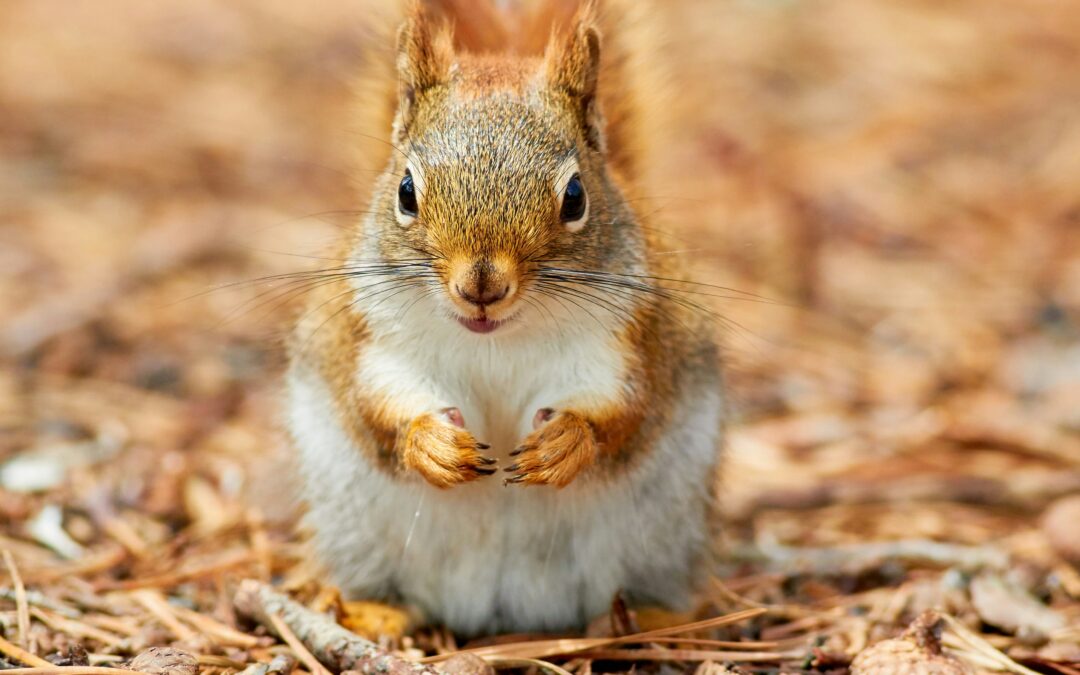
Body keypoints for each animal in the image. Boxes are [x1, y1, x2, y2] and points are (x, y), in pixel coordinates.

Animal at [287, 0, 724, 636]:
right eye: (405, 191)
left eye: (575, 197)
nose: (482, 286)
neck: (496, 342)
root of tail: (497, 611)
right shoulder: (371, 338)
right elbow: (377, 405)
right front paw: (431, 445)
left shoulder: (629, 341)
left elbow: (626, 410)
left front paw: (565, 442)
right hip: (358, 531)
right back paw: (370, 611)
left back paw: (642, 618)